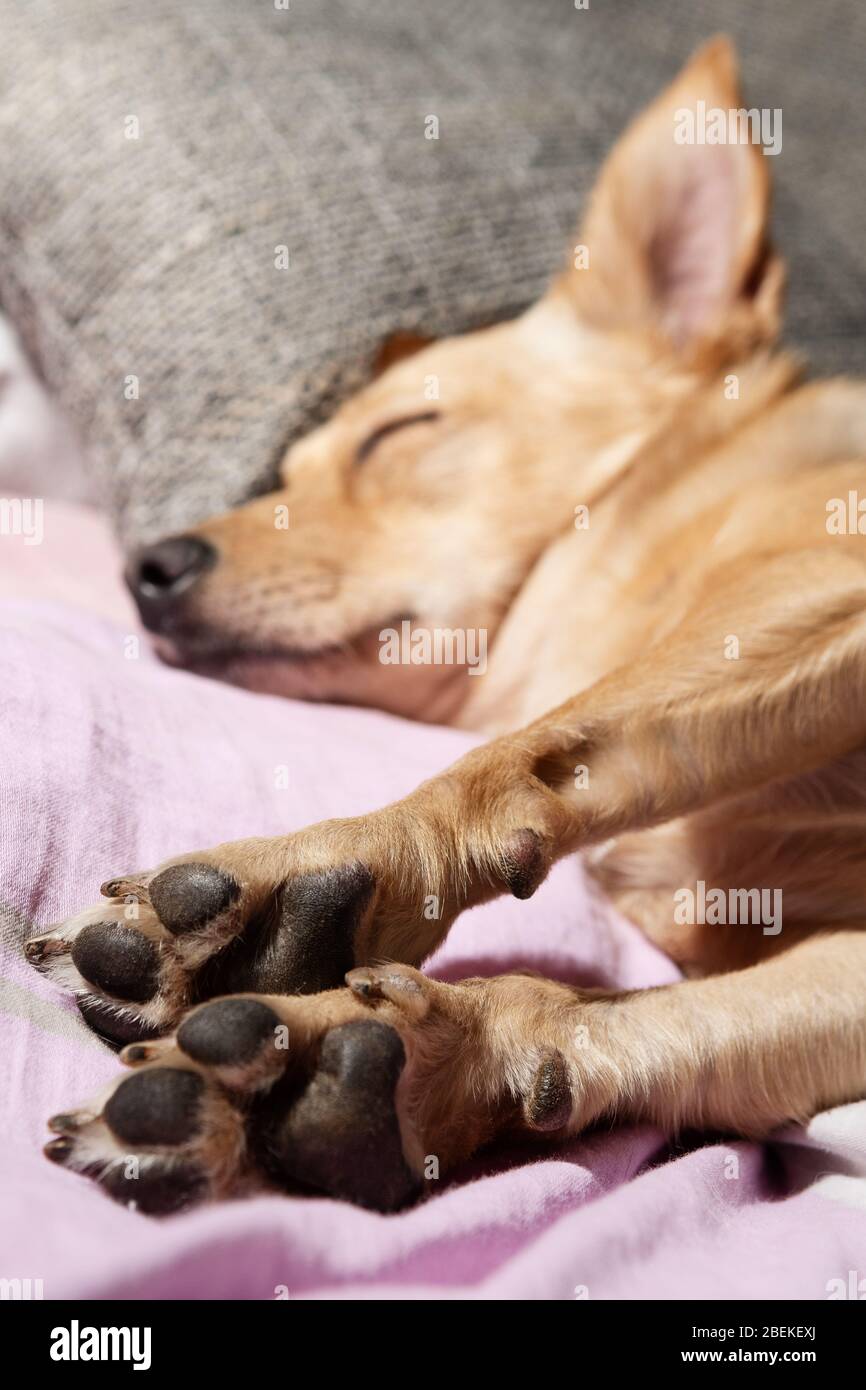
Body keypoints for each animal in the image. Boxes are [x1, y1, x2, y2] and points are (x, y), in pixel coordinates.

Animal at [25, 40, 866, 1217]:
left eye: (399, 434)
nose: (146, 568)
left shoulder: (823, 574)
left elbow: (522, 755)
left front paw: (313, 879)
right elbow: (654, 1018)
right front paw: (431, 1065)